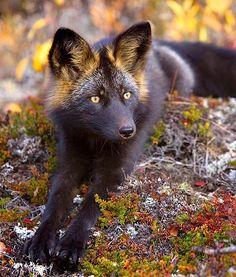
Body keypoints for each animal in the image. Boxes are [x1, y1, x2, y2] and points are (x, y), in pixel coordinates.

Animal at [24, 21, 236, 266]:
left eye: (126, 95)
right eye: (95, 98)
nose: (128, 131)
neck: (96, 141)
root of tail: (160, 44)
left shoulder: (115, 170)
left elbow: (89, 207)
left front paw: (71, 243)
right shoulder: (68, 163)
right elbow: (54, 204)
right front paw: (41, 239)